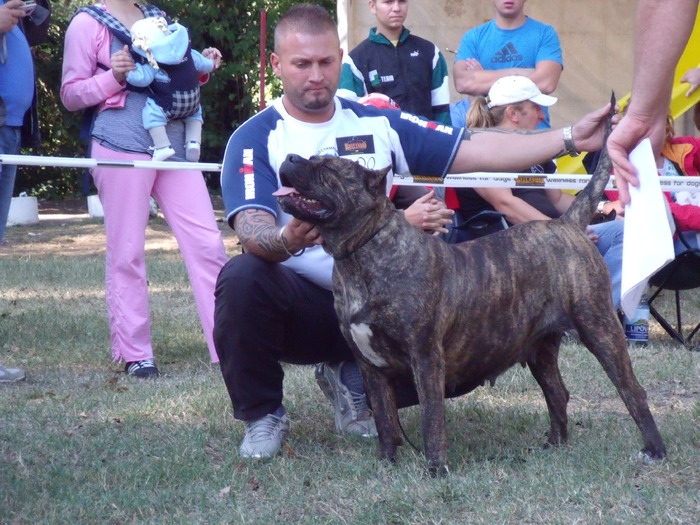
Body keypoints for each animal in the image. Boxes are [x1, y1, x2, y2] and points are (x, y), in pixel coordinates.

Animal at [274, 108, 668, 472]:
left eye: (327, 168)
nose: (289, 157)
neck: (361, 252)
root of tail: (567, 223)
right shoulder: (370, 365)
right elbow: (386, 420)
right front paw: (387, 464)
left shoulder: (426, 357)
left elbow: (432, 418)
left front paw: (436, 469)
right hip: (540, 347)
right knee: (557, 392)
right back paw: (554, 445)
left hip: (598, 327)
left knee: (631, 390)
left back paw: (654, 450)